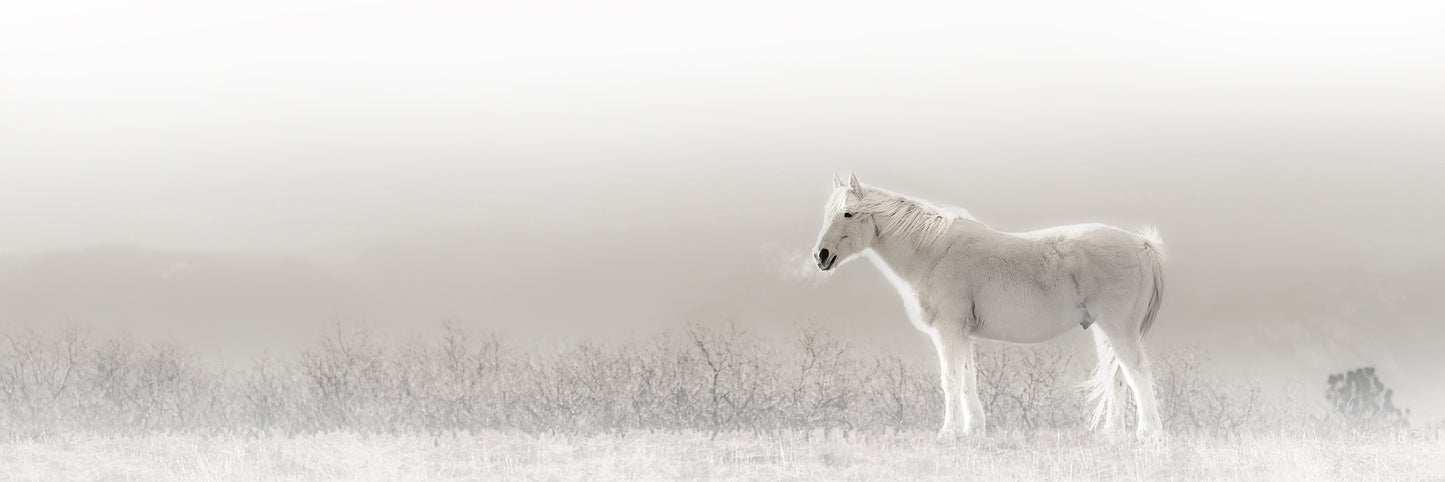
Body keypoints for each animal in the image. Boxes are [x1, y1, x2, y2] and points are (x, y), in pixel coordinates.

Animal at [809, 173, 1167, 441]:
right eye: (828, 212)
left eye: (848, 213)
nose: (821, 256)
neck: (932, 252)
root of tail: (1142, 245)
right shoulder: (962, 334)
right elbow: (968, 378)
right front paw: (974, 430)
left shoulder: (948, 331)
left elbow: (951, 378)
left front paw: (949, 433)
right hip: (1106, 331)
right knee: (1118, 376)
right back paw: (1113, 434)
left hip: (1119, 329)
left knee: (1137, 372)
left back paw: (1149, 433)